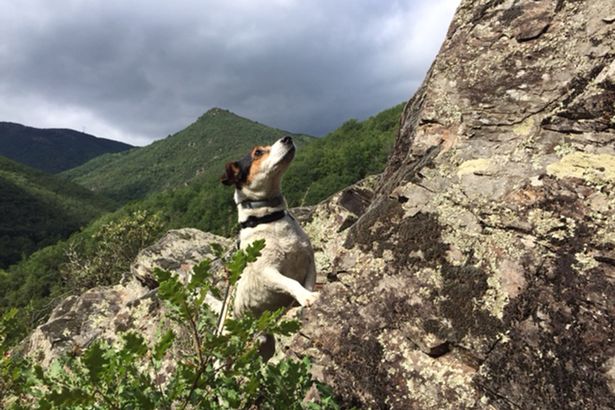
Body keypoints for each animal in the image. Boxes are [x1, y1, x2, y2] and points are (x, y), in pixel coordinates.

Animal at [220, 136, 318, 318]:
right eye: (258, 152)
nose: (287, 138)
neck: (269, 218)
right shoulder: (268, 271)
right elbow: (292, 282)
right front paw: (306, 297)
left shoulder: (309, 261)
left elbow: (308, 284)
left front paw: (307, 296)